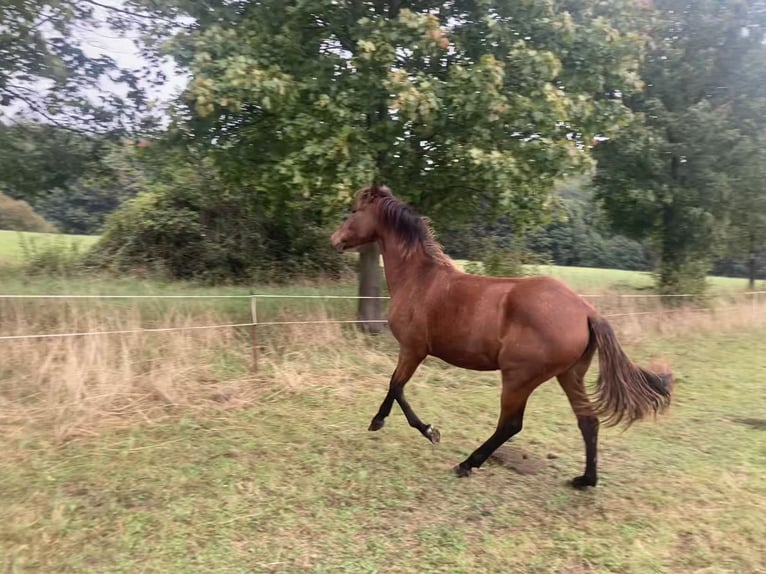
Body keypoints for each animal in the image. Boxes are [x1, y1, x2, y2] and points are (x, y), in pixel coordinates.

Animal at [330, 186, 672, 490]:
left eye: (354, 211)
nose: (334, 240)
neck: (420, 280)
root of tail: (587, 311)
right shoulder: (413, 351)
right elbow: (395, 386)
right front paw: (384, 422)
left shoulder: (413, 349)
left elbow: (396, 386)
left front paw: (422, 430)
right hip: (569, 375)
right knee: (588, 420)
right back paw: (585, 480)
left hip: (519, 377)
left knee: (511, 424)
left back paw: (467, 464)